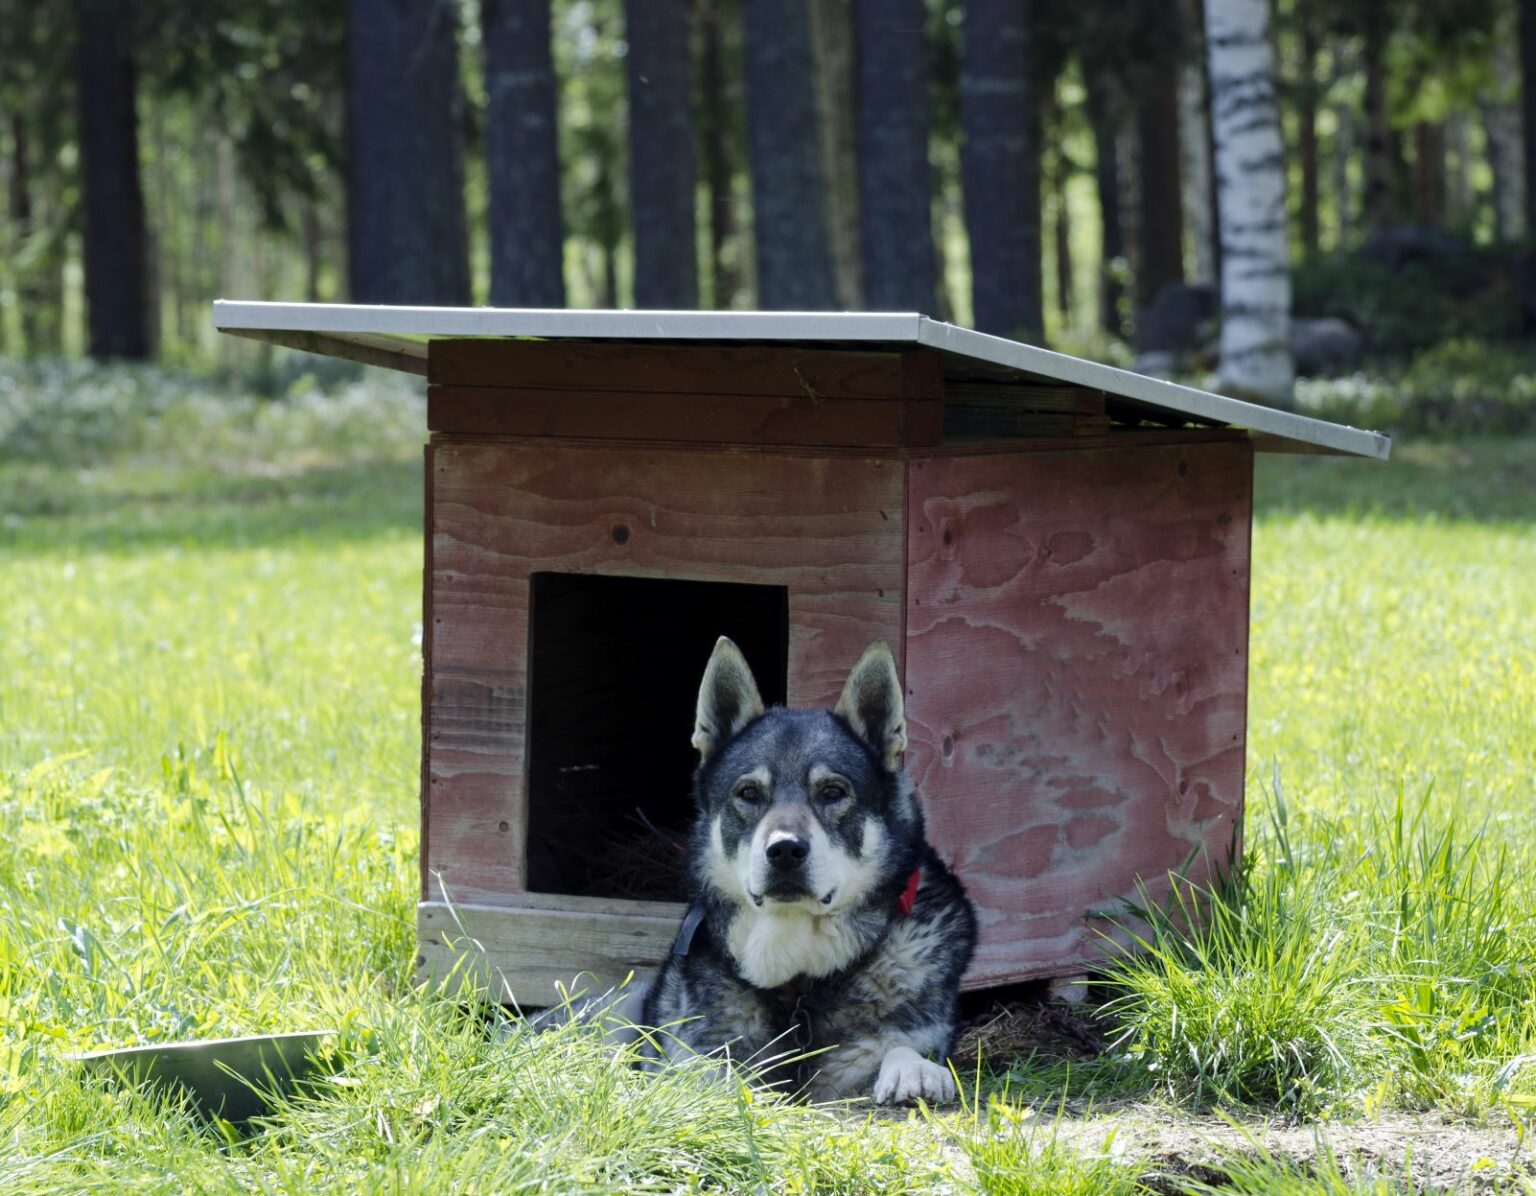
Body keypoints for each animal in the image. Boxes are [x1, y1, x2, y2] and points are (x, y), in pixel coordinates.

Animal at [638, 635, 976, 1105]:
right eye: (749, 793)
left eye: (832, 792)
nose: (784, 850)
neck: (800, 982)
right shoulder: (695, 1051)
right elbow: (708, 1071)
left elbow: (901, 1047)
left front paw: (914, 1071)